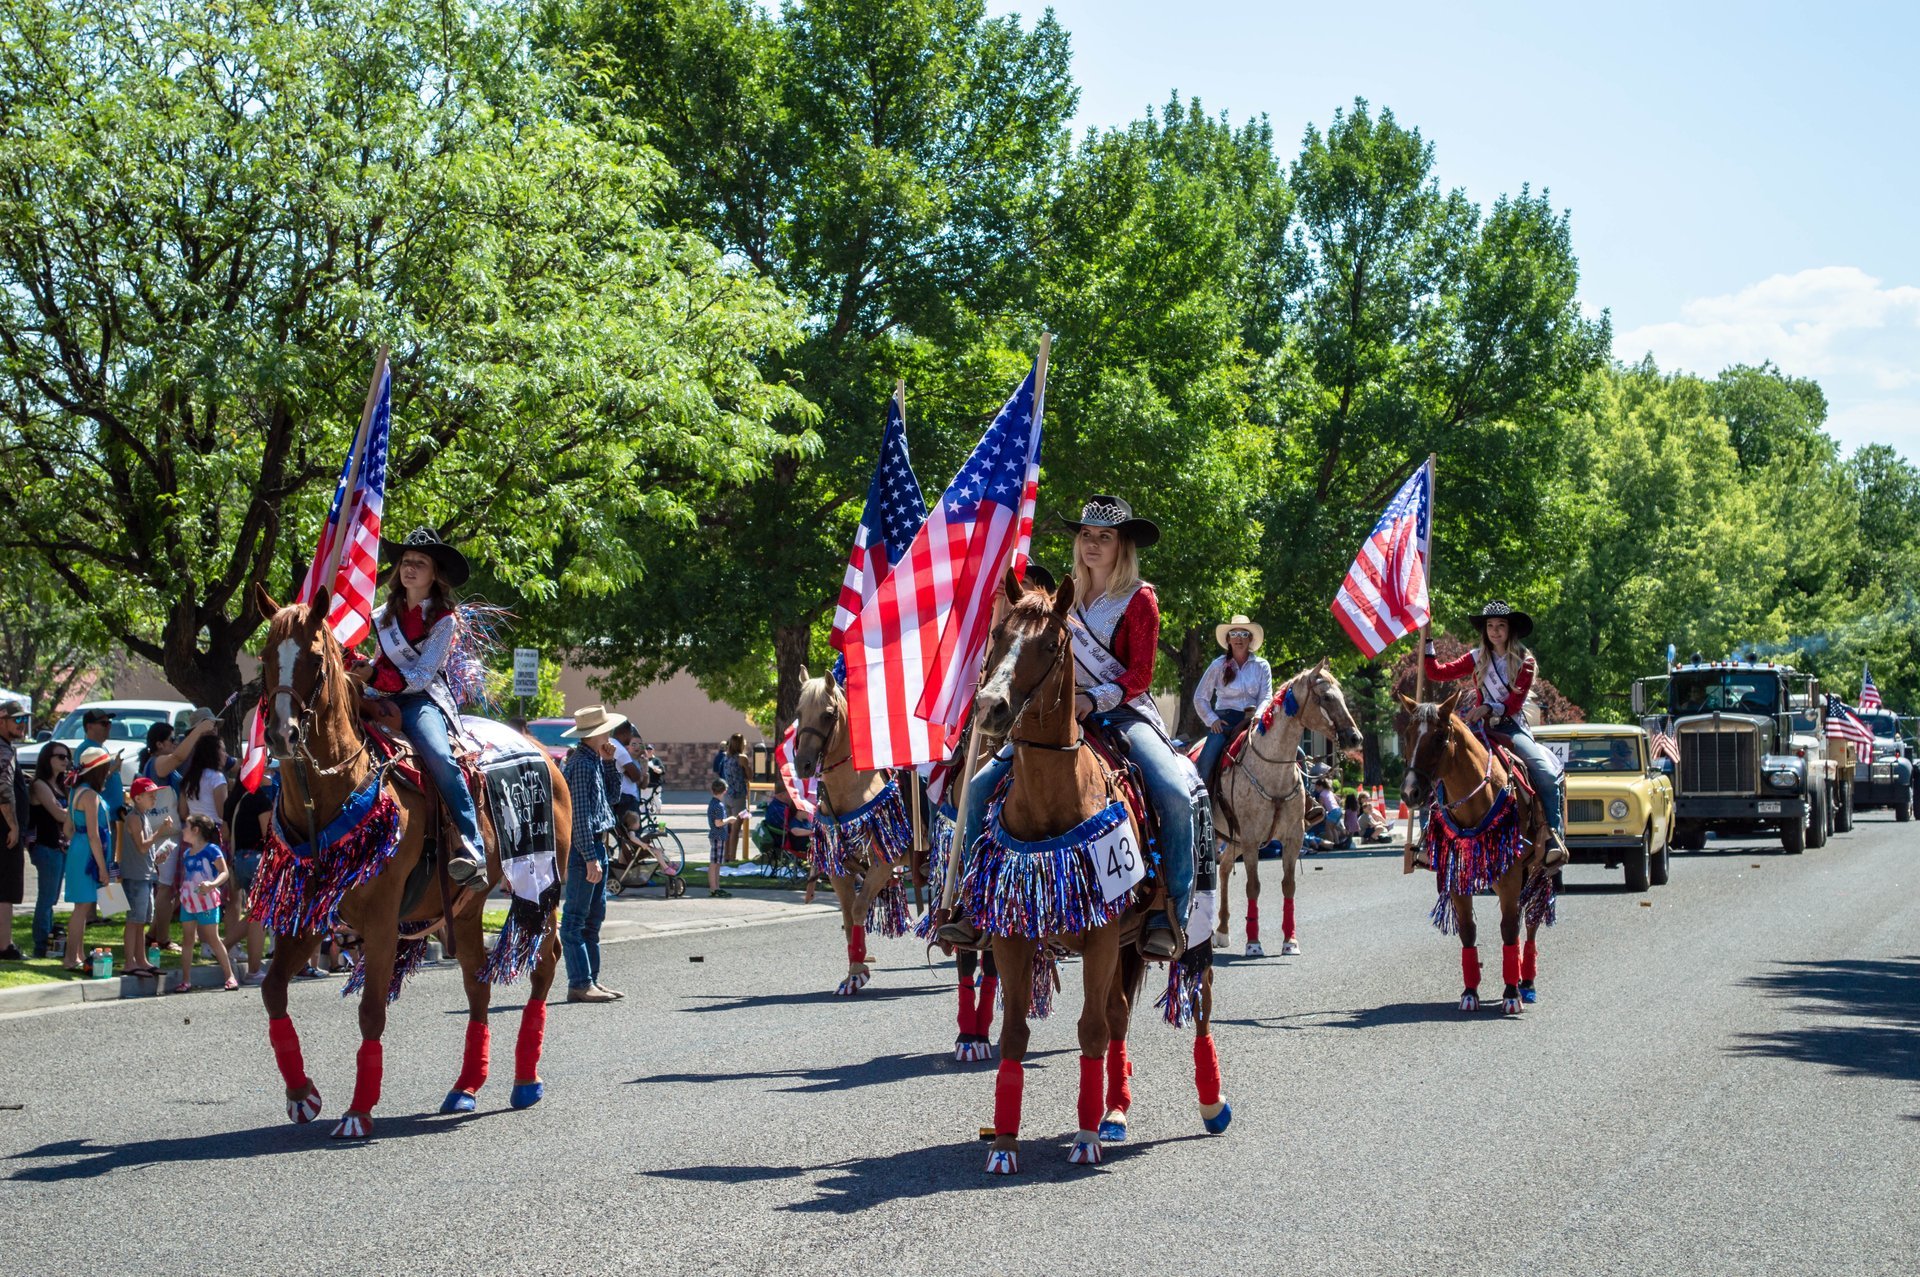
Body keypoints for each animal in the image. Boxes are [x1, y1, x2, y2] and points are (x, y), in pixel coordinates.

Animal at [247, 579, 564, 1136]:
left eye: (315, 657)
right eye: (266, 655)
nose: (282, 735)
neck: (333, 793)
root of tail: (541, 749)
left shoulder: (380, 921)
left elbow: (372, 1011)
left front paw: (358, 1111)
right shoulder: (307, 915)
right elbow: (273, 991)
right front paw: (302, 1094)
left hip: (541, 887)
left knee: (541, 970)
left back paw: (526, 1082)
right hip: (467, 908)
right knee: (477, 987)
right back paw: (465, 1087)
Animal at [791, 668, 917, 998]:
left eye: (828, 714)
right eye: (798, 713)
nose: (803, 764)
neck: (853, 790)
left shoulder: (883, 864)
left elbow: (859, 909)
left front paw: (860, 970)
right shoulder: (839, 870)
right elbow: (848, 917)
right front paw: (853, 973)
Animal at [967, 572, 1221, 1167]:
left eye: (1050, 644)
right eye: (998, 633)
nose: (990, 708)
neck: (1053, 801)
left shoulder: (1102, 935)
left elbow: (1089, 1030)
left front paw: (1083, 1139)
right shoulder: (1014, 935)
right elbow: (1015, 1033)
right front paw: (1004, 1145)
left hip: (1188, 933)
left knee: (1198, 1002)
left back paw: (1210, 1105)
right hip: (1129, 942)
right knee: (1121, 1014)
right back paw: (1114, 1112)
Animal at [1198, 660, 1367, 952]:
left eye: (1343, 697)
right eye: (1326, 697)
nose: (1355, 738)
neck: (1272, 769)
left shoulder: (1293, 837)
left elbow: (1289, 885)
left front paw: (1290, 940)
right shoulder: (1252, 839)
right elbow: (1253, 886)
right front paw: (1253, 943)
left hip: (1233, 838)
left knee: (1225, 869)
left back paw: (1222, 930)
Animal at [1397, 691, 1559, 1013]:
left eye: (1439, 737)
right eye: (1407, 735)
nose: (1410, 793)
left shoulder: (1510, 876)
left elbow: (1508, 929)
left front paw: (1511, 994)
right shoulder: (1458, 876)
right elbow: (1468, 931)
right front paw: (1470, 992)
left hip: (1538, 871)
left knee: (1531, 920)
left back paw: (1527, 983)